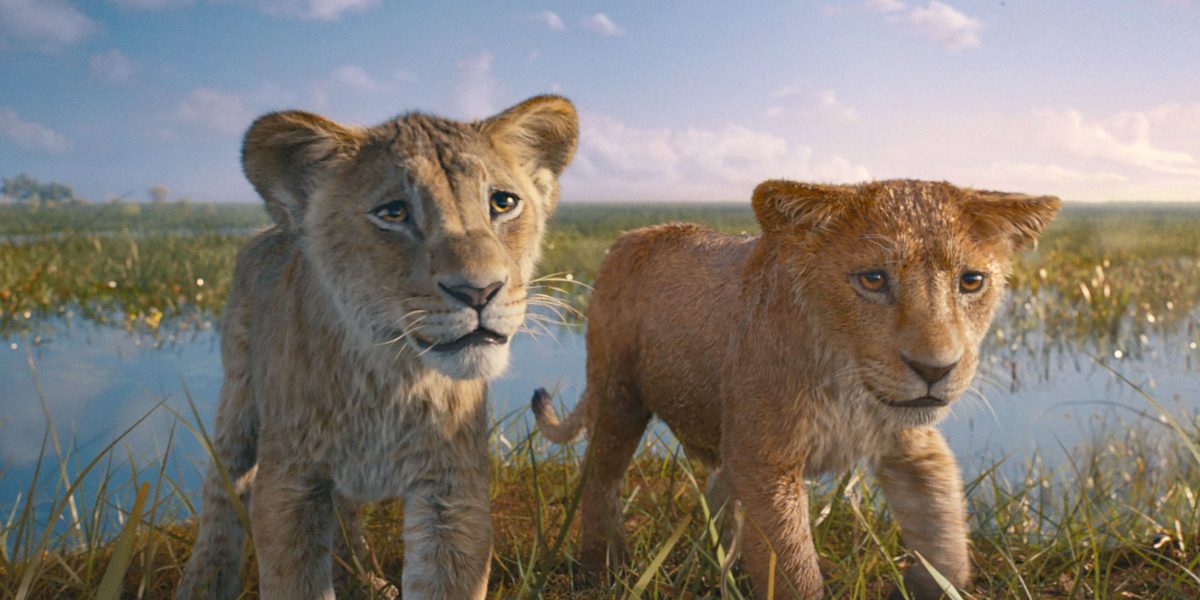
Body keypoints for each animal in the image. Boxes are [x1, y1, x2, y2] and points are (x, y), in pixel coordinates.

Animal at [175, 95, 578, 599]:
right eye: (394, 213)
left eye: (502, 202)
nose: (480, 291)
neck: (390, 376)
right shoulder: (289, 485)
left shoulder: (451, 491)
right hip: (239, 395)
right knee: (222, 483)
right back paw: (204, 582)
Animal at [532, 179, 1059, 599]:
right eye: (873, 279)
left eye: (971, 281)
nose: (935, 369)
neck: (849, 385)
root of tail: (630, 235)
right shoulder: (767, 461)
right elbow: (794, 569)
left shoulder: (911, 443)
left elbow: (944, 529)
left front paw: (929, 583)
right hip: (617, 393)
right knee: (600, 478)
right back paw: (603, 569)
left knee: (719, 493)